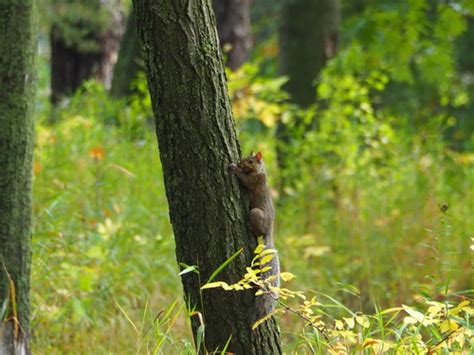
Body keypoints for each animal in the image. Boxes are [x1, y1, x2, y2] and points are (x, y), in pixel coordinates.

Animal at [229, 152, 280, 324]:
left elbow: (245, 181)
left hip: (255, 213)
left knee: (258, 231)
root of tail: (269, 231)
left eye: (251, 161)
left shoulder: (254, 180)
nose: (240, 162)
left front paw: (234, 168)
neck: (260, 170)